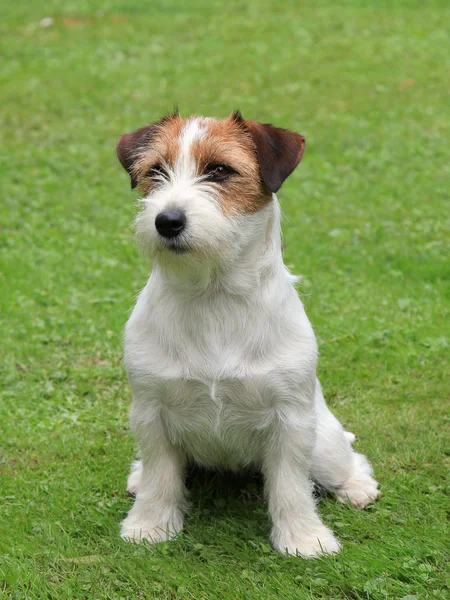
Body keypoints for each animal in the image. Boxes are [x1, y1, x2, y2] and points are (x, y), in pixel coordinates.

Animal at [116, 110, 380, 556]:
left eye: (220, 170)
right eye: (155, 170)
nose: (167, 221)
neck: (213, 297)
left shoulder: (290, 421)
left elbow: (291, 487)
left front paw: (303, 538)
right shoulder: (151, 413)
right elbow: (160, 477)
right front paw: (150, 524)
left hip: (323, 444)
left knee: (349, 461)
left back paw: (357, 487)